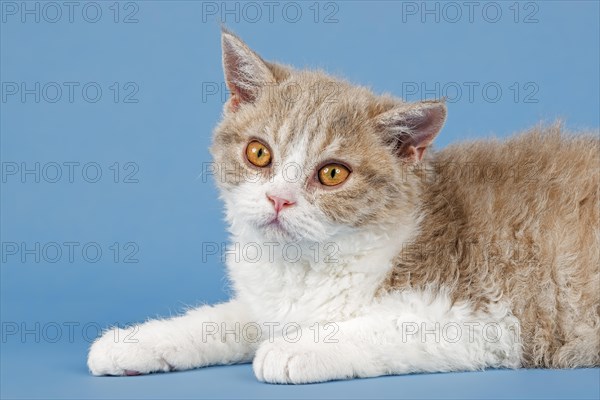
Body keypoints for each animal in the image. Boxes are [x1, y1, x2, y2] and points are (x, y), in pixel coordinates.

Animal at [86, 29, 596, 382]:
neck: (306, 266)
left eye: (333, 173)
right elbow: (222, 320)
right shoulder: (270, 305)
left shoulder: (489, 319)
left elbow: (386, 328)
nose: (279, 198)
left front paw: (295, 348)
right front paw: (136, 341)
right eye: (259, 153)